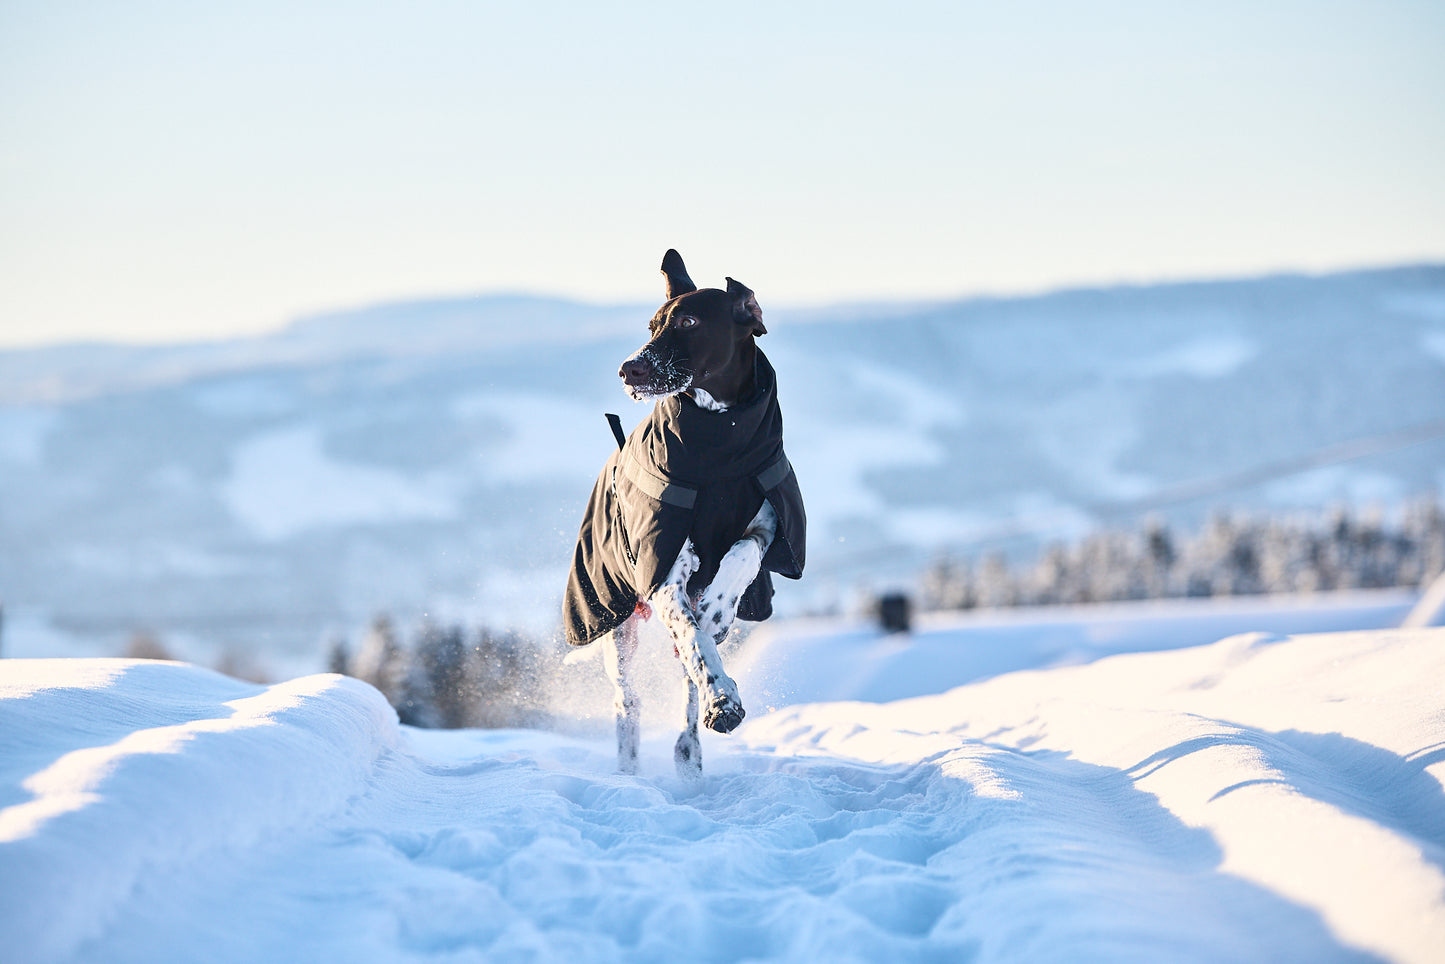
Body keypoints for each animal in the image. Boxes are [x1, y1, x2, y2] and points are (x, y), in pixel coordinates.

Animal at [563, 248, 809, 774]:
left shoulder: (765, 527)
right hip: (618, 627)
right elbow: (694, 638)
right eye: (653, 325)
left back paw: (690, 744)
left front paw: (719, 606)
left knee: (685, 679)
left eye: (690, 322)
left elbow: (740, 559)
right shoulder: (664, 568)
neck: (720, 442)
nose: (629, 369)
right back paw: (633, 769)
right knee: (629, 700)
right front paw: (722, 696)